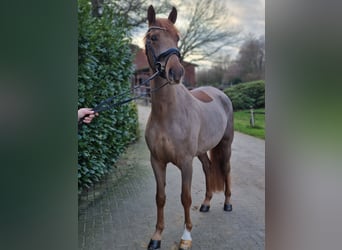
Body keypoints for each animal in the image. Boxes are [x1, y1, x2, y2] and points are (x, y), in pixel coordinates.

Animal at [143, 4, 234, 249]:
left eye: (177, 37)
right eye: (153, 38)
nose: (176, 73)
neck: (167, 114)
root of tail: (220, 94)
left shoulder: (185, 163)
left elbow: (185, 198)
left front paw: (186, 237)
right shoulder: (157, 162)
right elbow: (160, 197)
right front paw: (156, 236)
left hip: (226, 145)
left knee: (226, 170)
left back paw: (227, 204)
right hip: (202, 152)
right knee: (209, 168)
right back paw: (206, 203)